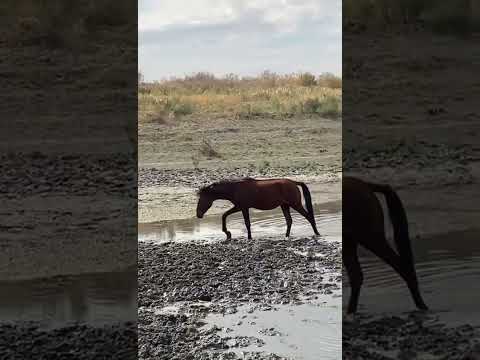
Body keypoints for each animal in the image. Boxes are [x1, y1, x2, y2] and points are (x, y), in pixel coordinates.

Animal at [344, 176, 430, 314]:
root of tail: (365, 184)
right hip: (350, 239)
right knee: (356, 276)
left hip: (371, 237)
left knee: (402, 267)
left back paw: (422, 306)